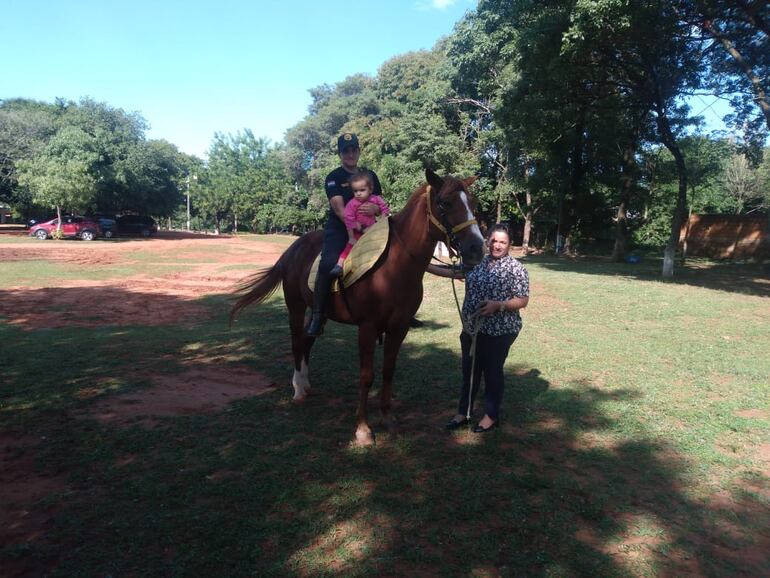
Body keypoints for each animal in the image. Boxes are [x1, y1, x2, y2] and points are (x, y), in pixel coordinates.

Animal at [230, 169, 480, 444]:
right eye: (445, 203)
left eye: (473, 203)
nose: (477, 248)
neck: (394, 266)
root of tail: (294, 247)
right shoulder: (368, 328)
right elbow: (366, 375)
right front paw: (362, 429)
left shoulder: (399, 327)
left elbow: (388, 370)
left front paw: (387, 419)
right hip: (295, 306)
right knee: (296, 341)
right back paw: (298, 389)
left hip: (319, 313)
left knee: (307, 340)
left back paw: (305, 382)